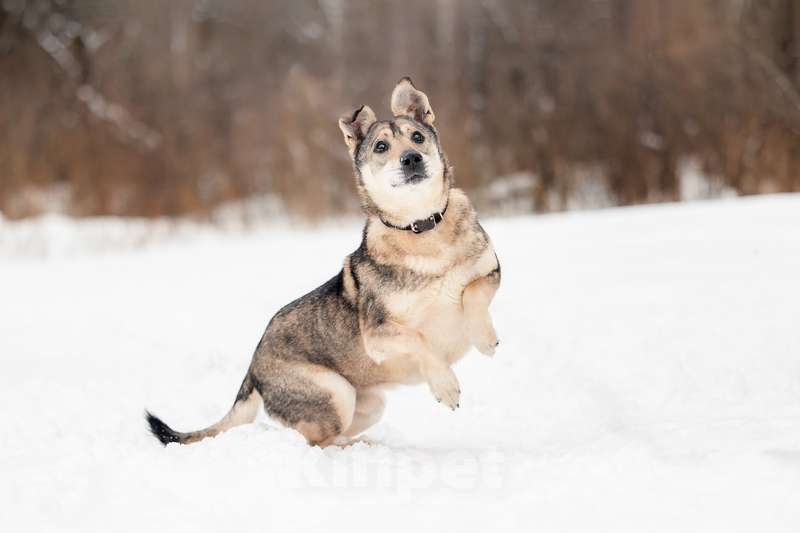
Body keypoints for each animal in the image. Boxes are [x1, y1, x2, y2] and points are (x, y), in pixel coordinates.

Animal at [147, 77, 500, 446]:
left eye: (417, 137)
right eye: (381, 146)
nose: (412, 159)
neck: (422, 229)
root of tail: (252, 371)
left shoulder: (492, 270)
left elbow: (472, 292)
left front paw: (485, 338)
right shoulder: (377, 333)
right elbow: (419, 340)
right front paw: (446, 386)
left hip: (370, 405)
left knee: (334, 438)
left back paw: (365, 443)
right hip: (336, 394)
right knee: (313, 441)